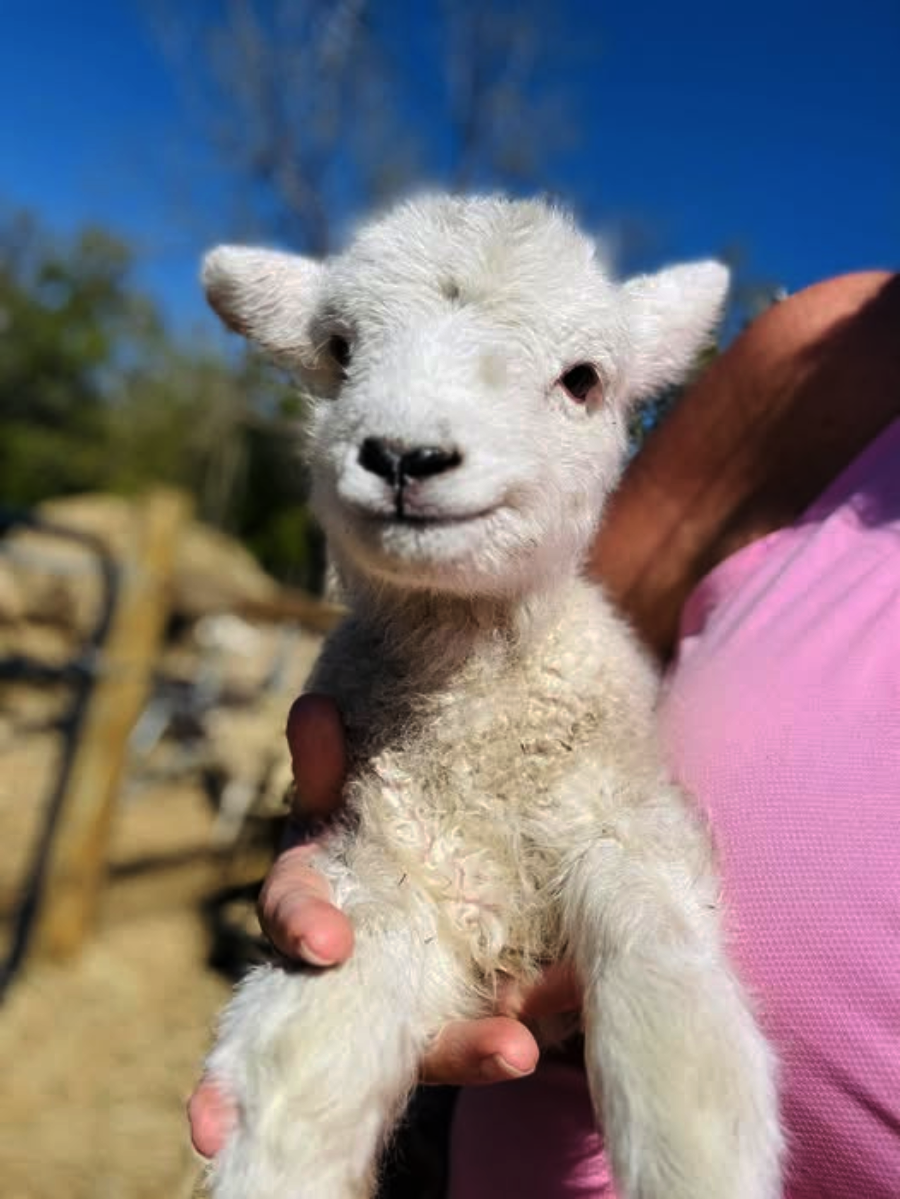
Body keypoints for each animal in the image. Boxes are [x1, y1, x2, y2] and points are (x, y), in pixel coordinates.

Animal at [200, 195, 783, 1199]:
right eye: (339, 350)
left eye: (584, 379)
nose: (405, 455)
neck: (477, 734)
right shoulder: (393, 855)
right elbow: (302, 1055)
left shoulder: (618, 813)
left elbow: (669, 996)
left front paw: (698, 1156)